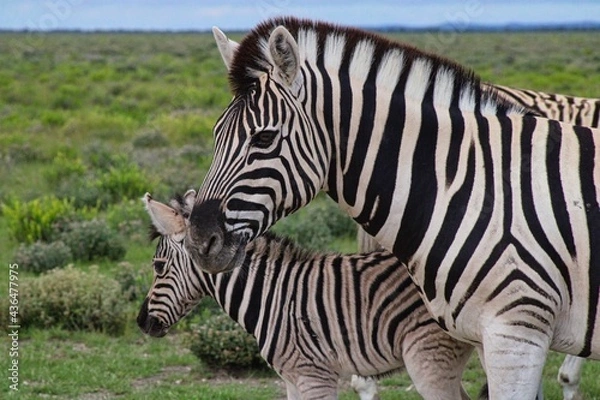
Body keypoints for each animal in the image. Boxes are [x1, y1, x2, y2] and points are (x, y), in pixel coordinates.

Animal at [137, 191, 474, 400]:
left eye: (158, 265)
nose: (141, 322)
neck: (271, 295)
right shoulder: (292, 378)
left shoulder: (314, 375)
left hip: (427, 356)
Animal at [179, 17, 600, 398]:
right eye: (215, 134)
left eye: (264, 138)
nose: (198, 240)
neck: (473, 187)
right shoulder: (488, 334)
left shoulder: (516, 331)